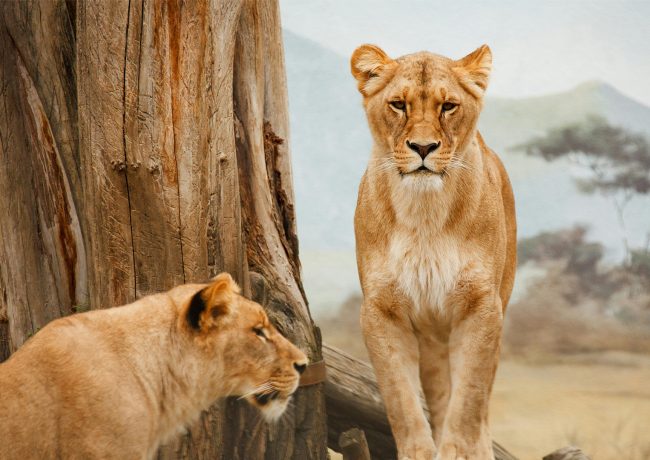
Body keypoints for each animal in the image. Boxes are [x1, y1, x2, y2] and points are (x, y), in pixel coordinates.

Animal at [351, 44, 516, 460]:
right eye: (398, 104)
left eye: (448, 106)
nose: (423, 148)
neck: (424, 213)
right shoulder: (381, 311)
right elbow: (401, 400)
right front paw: (420, 452)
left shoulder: (482, 307)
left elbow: (469, 400)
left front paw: (460, 451)